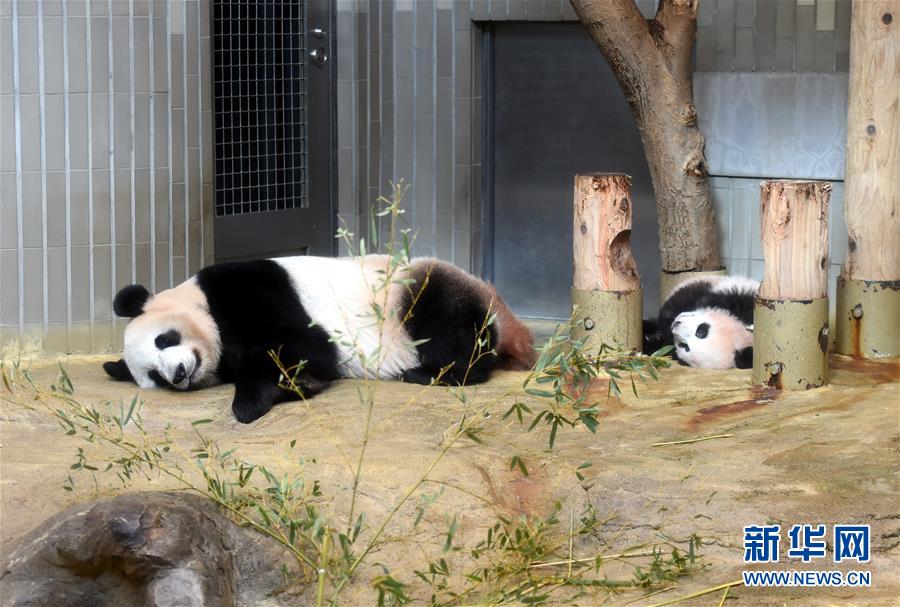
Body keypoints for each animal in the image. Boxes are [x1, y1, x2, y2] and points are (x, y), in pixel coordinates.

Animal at [100, 255, 536, 422]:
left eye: (163, 339)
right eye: (153, 377)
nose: (176, 374)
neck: (201, 300)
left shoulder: (250, 289)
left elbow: (304, 345)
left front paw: (250, 403)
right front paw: (294, 386)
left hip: (417, 292)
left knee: (447, 324)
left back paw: (428, 373)